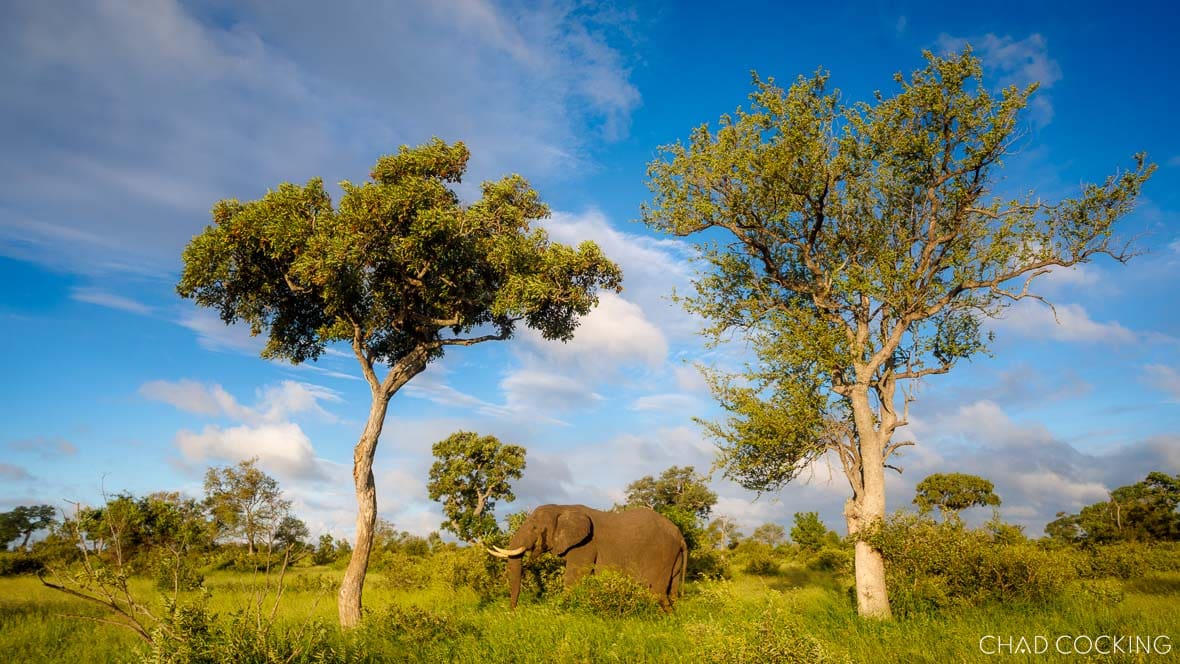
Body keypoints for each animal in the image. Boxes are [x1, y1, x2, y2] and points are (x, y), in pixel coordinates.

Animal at [486, 504, 687, 611]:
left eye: (535, 528)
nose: (512, 612)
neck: (563, 508)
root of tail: (680, 537)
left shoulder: (585, 545)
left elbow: (573, 578)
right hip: (673, 557)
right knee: (672, 589)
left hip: (661, 554)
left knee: (656, 591)